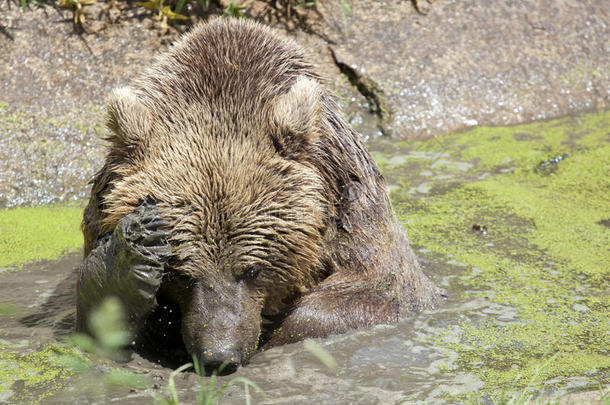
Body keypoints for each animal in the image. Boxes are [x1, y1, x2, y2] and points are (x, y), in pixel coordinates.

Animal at [77, 18, 442, 372]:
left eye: (253, 269)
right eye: (180, 274)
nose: (219, 355)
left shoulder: (352, 203)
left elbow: (378, 291)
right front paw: (130, 253)